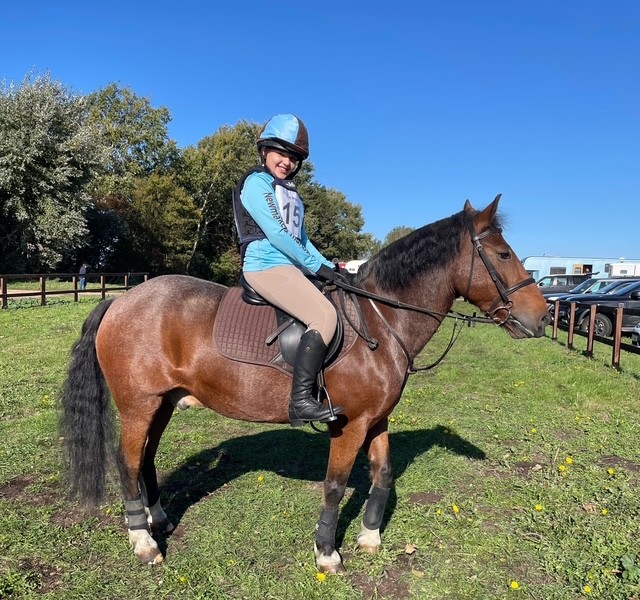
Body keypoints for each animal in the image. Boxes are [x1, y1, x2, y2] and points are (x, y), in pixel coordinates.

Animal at [60, 195, 550, 573]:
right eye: (504, 255)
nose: (543, 316)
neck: (381, 319)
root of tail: (120, 300)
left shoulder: (377, 419)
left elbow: (383, 473)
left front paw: (370, 536)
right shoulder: (349, 425)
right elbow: (334, 485)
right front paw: (327, 553)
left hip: (162, 403)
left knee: (145, 459)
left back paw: (157, 519)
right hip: (139, 405)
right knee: (127, 462)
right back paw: (143, 542)